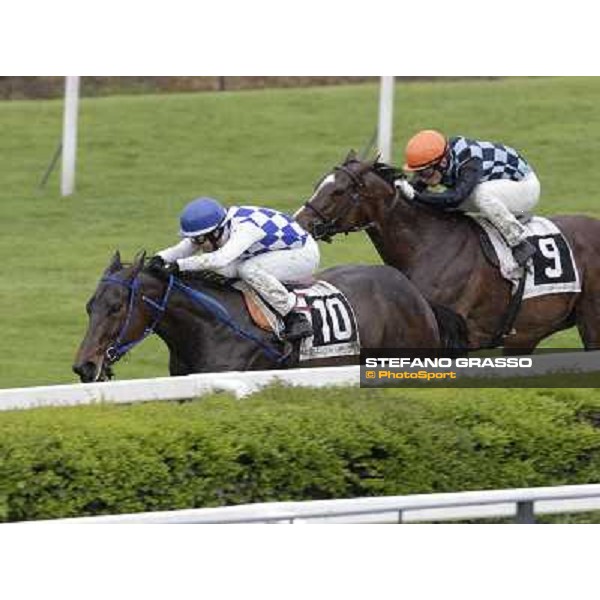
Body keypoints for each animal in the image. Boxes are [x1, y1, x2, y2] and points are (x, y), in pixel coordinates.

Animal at [296, 150, 600, 354]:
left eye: (338, 191)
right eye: (317, 185)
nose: (300, 223)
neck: (427, 245)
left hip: (590, 321)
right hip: (526, 335)